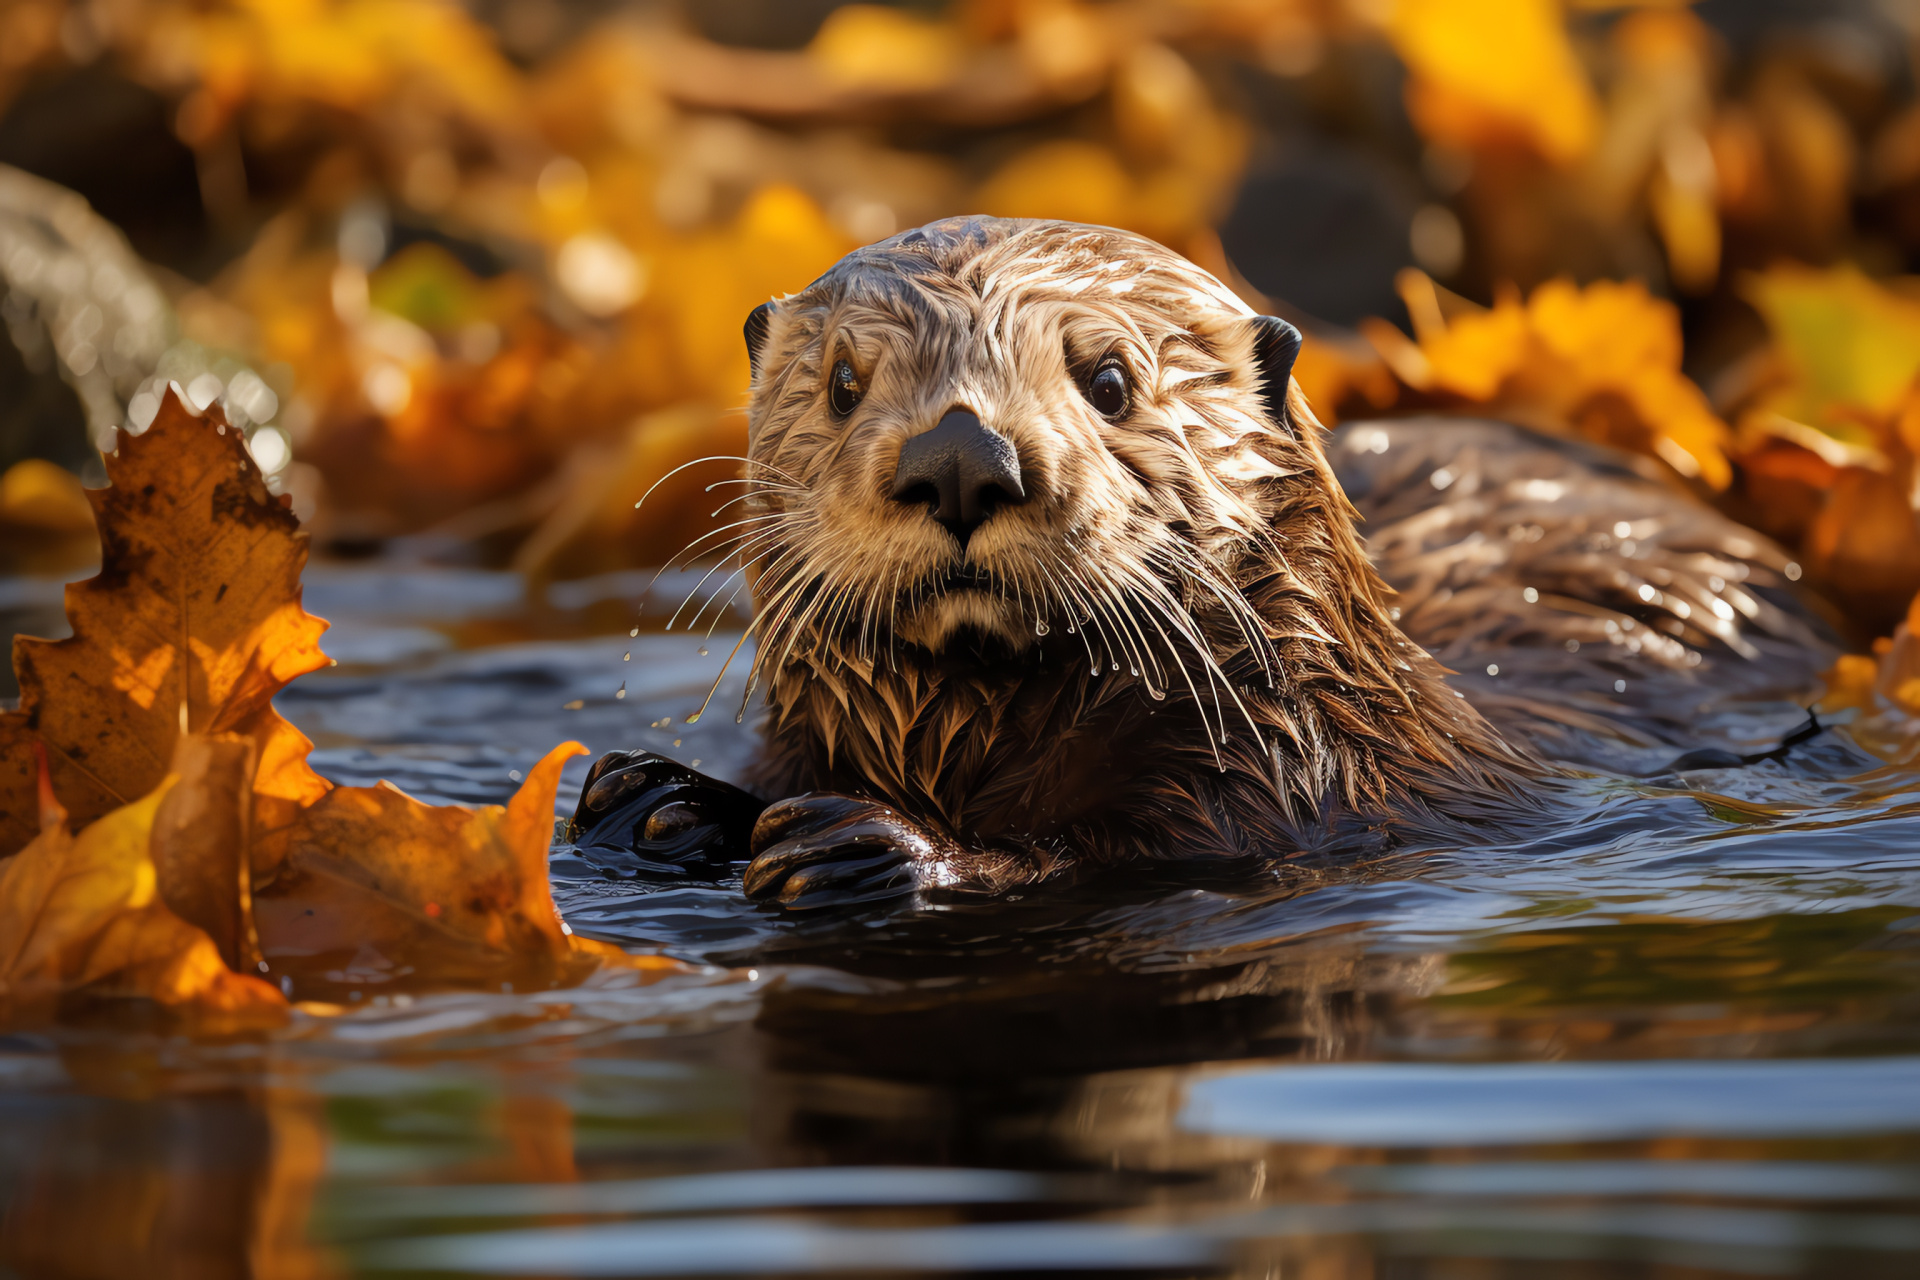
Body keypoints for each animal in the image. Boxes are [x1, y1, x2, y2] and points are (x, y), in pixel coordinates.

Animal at [568, 214, 1827, 909]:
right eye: (841, 380)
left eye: (1109, 379)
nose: (961, 457)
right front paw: (657, 798)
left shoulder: (1295, 791)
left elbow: (1111, 861)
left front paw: (871, 846)